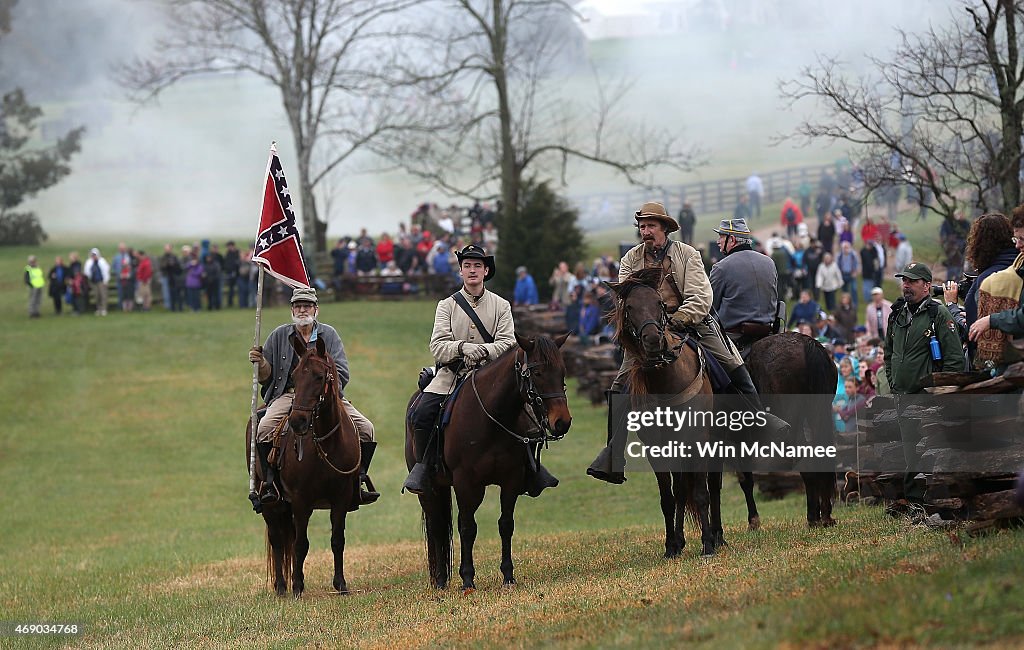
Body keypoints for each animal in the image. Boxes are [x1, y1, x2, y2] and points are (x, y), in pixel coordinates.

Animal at [245, 337, 362, 597]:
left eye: (319, 376)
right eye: (295, 376)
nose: (297, 421)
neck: (326, 444)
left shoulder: (341, 498)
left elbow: (337, 540)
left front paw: (340, 584)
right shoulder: (301, 500)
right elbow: (300, 544)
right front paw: (298, 586)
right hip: (272, 504)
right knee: (278, 541)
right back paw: (281, 586)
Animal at [403, 333, 573, 593]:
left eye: (562, 371)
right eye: (537, 373)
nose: (562, 422)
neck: (491, 417)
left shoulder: (511, 480)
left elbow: (506, 524)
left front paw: (508, 576)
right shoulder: (466, 483)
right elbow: (467, 527)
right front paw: (467, 579)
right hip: (430, 489)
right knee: (437, 527)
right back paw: (440, 581)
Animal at [606, 270, 720, 560]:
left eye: (659, 303)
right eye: (629, 307)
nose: (652, 341)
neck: (668, 381)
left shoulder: (697, 442)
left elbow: (701, 494)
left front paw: (707, 545)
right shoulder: (657, 448)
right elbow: (668, 498)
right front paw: (670, 546)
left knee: (713, 485)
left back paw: (718, 536)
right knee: (679, 491)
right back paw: (680, 541)